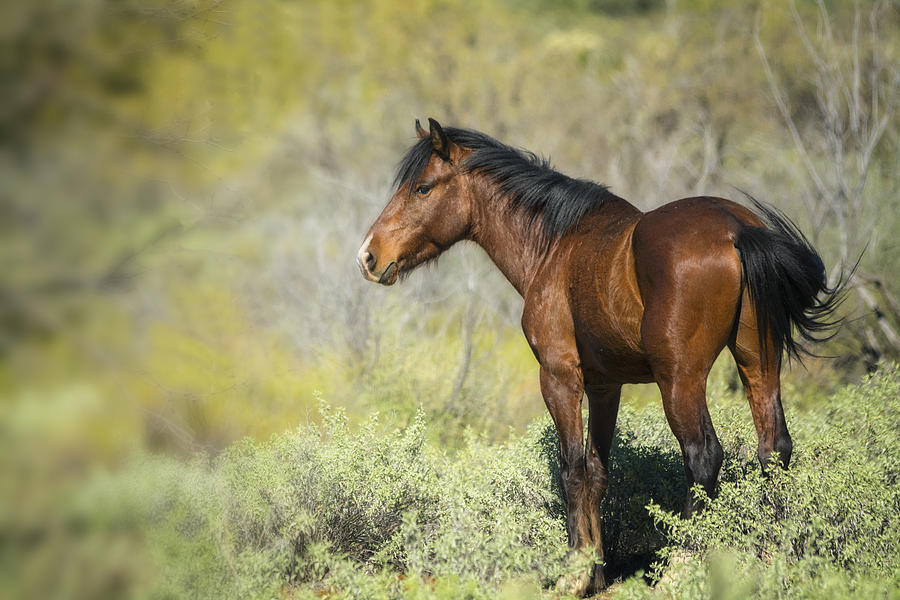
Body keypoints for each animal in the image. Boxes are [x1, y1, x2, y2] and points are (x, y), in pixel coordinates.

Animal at [356, 118, 840, 596]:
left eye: (423, 187)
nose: (369, 255)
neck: (554, 246)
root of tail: (736, 229)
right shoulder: (606, 386)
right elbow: (596, 471)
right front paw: (597, 570)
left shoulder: (559, 378)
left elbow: (572, 470)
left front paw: (573, 574)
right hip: (758, 363)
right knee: (773, 450)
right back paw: (772, 558)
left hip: (680, 380)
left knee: (703, 456)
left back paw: (679, 568)